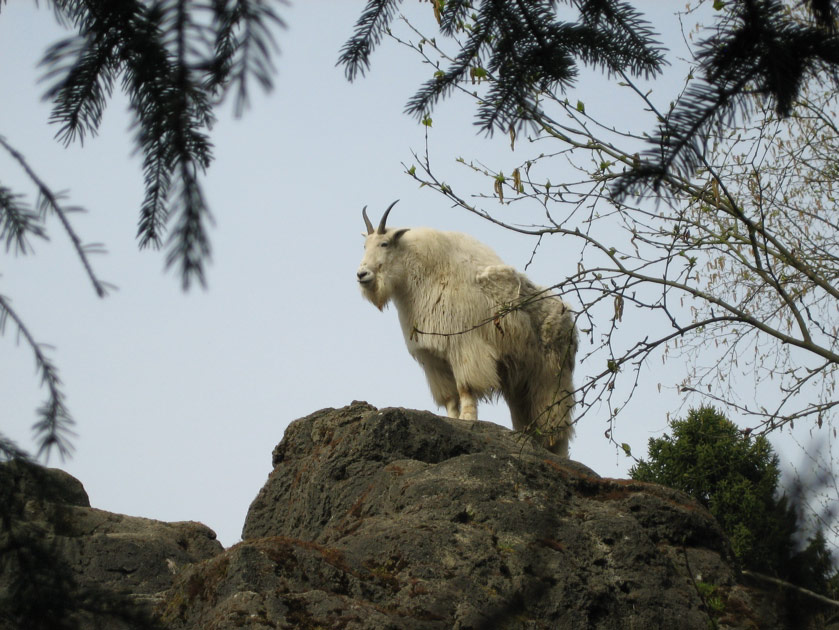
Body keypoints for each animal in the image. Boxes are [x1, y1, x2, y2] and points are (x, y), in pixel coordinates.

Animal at [354, 200, 576, 456]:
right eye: (364, 245)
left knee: (555, 420)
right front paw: (452, 419)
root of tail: (569, 318)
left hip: (552, 375)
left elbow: (465, 388)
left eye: (384, 243)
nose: (362, 274)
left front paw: (467, 419)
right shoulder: (434, 360)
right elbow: (450, 397)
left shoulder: (465, 346)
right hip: (521, 380)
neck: (423, 277)